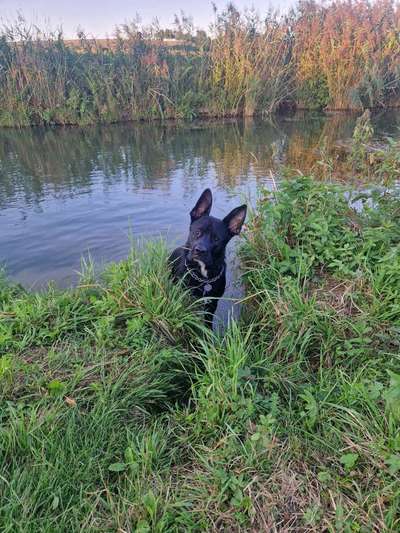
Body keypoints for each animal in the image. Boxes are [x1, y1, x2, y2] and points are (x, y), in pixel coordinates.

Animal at [170, 189, 247, 326]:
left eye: (216, 239)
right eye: (197, 232)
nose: (199, 250)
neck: (203, 277)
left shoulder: (212, 303)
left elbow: (207, 322)